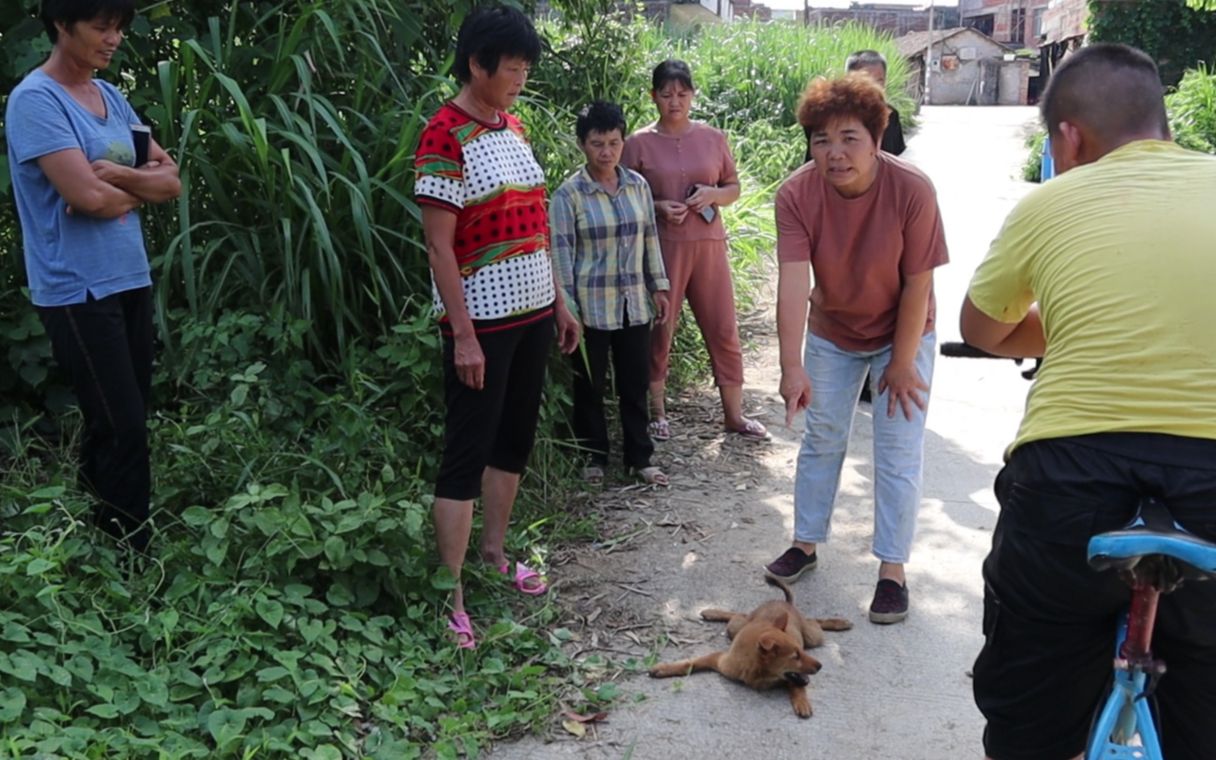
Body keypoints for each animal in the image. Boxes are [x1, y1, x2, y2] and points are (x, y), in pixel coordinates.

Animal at [651, 573, 851, 715]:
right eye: (795, 656)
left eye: (800, 651)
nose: (820, 666)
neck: (757, 669)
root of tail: (785, 603)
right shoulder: (720, 660)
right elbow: (691, 662)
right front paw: (664, 668)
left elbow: (797, 685)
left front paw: (801, 701)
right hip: (735, 627)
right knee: (739, 615)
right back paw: (712, 612)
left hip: (813, 637)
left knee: (815, 621)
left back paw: (839, 622)